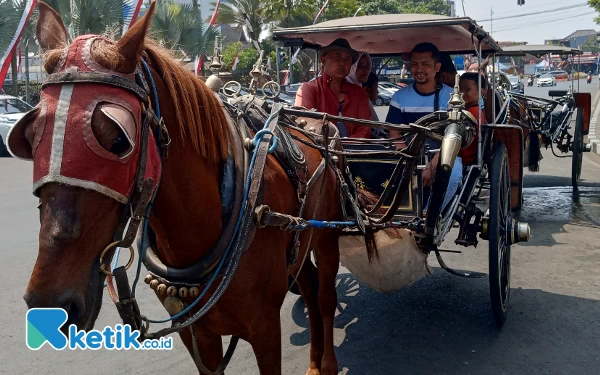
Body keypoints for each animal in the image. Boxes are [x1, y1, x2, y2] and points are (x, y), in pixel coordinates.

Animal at [14, 1, 364, 374]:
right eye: (30, 137)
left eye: (118, 139)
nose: (49, 301)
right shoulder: (195, 332)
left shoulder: (266, 327)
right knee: (309, 285)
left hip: (327, 233)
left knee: (324, 295)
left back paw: (327, 361)